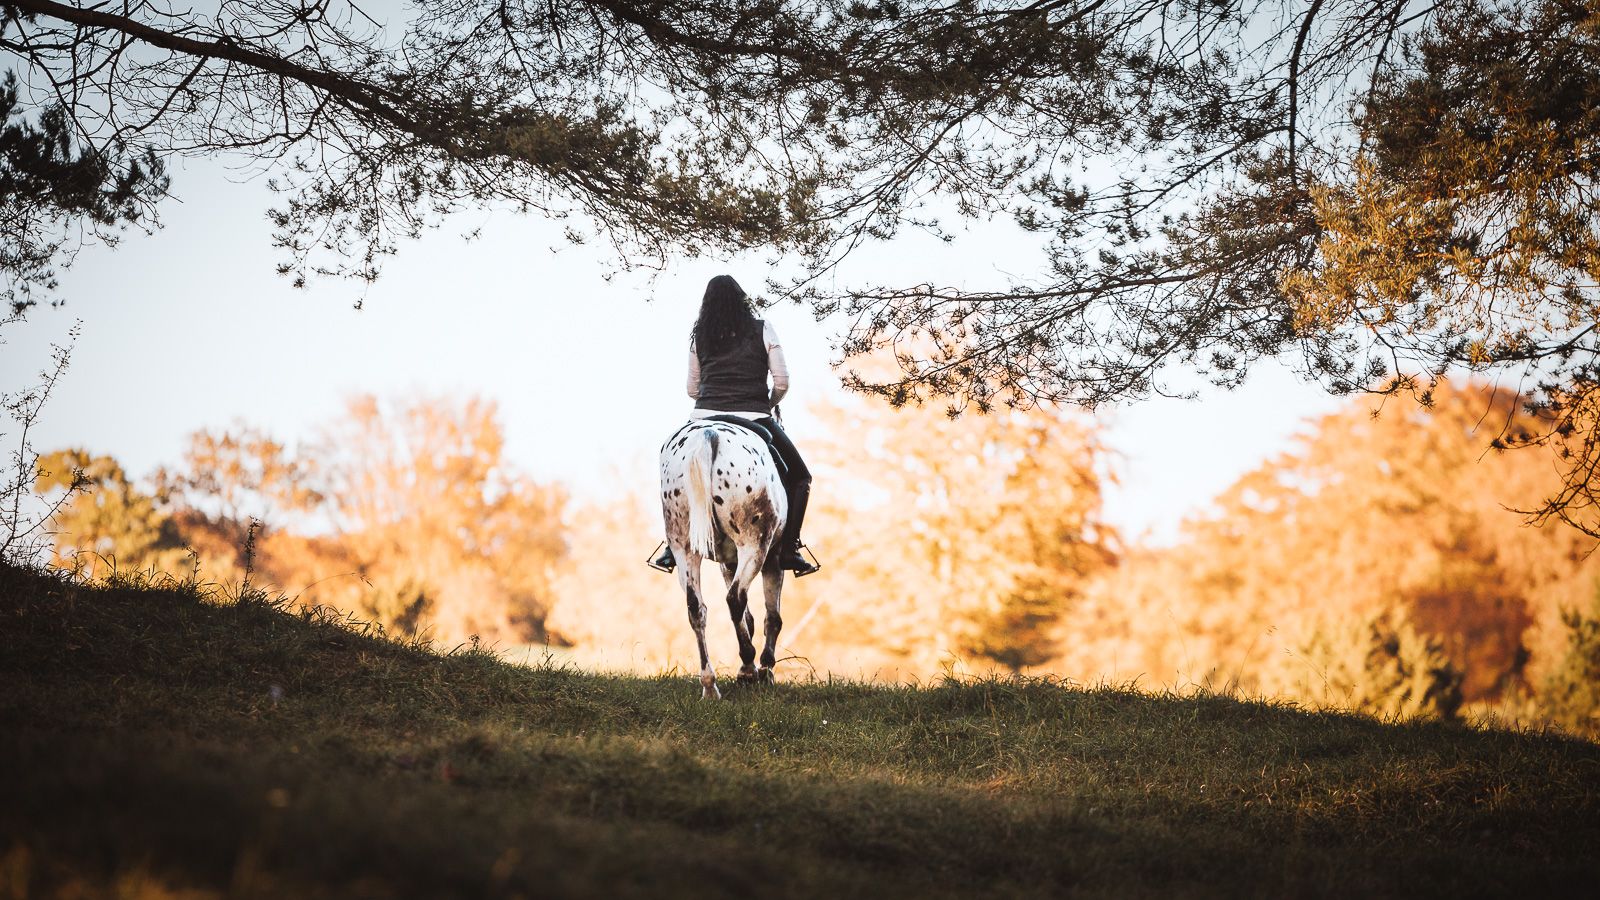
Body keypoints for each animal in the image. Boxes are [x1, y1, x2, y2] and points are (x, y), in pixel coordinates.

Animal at [659, 416, 790, 698]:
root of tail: (708, 436)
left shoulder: (728, 563)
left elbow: (748, 619)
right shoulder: (773, 559)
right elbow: (771, 617)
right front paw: (765, 669)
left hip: (683, 548)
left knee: (696, 608)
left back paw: (710, 686)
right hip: (754, 545)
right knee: (735, 599)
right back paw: (750, 667)